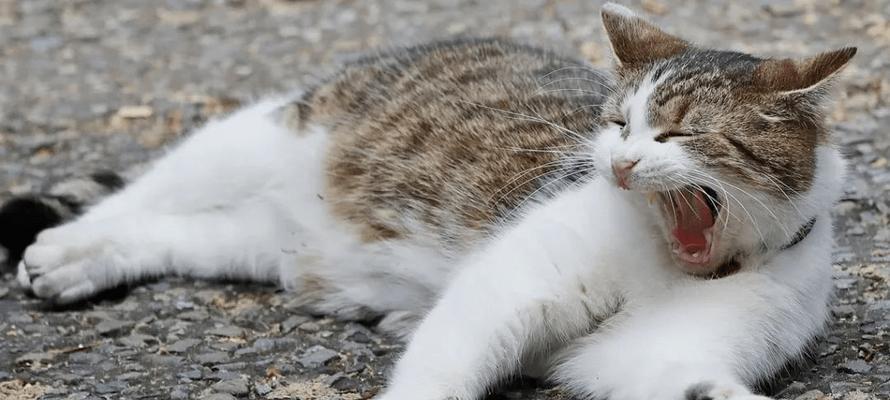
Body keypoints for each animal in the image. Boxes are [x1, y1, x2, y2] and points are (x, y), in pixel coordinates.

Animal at [0, 3, 852, 400]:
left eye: (676, 134)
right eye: (618, 123)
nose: (618, 162)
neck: (673, 262)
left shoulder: (652, 349)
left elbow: (671, 370)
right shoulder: (514, 281)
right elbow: (453, 351)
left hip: (258, 242)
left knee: (169, 234)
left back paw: (87, 265)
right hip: (251, 141)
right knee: (139, 195)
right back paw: (71, 248)